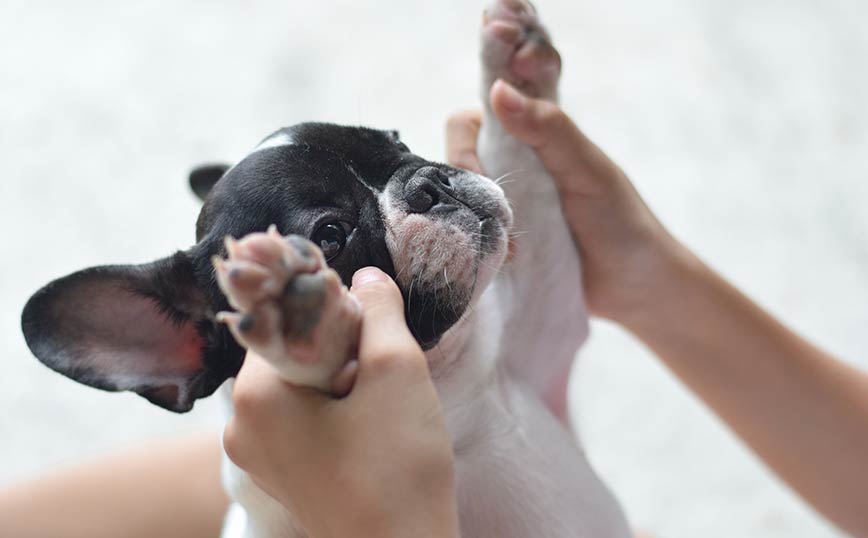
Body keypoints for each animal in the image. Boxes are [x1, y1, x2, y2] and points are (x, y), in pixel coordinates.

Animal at [22, 1, 632, 536]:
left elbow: (527, 169)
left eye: (396, 140)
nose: (429, 183)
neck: (450, 390)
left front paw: (512, 59)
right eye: (330, 237)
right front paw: (302, 315)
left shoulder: (546, 320)